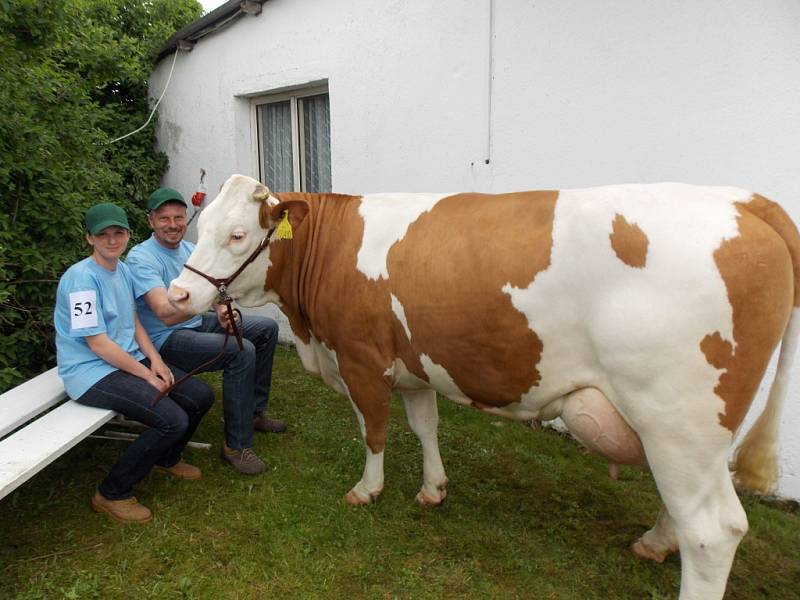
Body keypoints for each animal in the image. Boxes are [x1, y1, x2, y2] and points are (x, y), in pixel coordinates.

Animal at [170, 175, 800, 600]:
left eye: (238, 235)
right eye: (200, 229)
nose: (179, 295)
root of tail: (746, 200)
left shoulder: (360, 359)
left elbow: (374, 430)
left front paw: (367, 490)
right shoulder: (413, 361)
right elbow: (424, 425)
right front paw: (432, 489)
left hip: (677, 419)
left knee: (712, 531)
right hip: (691, 432)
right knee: (688, 507)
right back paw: (654, 541)